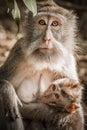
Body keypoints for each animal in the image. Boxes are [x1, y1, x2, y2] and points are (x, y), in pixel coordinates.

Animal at [0, 0, 83, 129]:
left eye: (54, 24)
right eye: (42, 22)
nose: (47, 39)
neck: (43, 61)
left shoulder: (68, 61)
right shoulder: (17, 53)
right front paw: (7, 90)